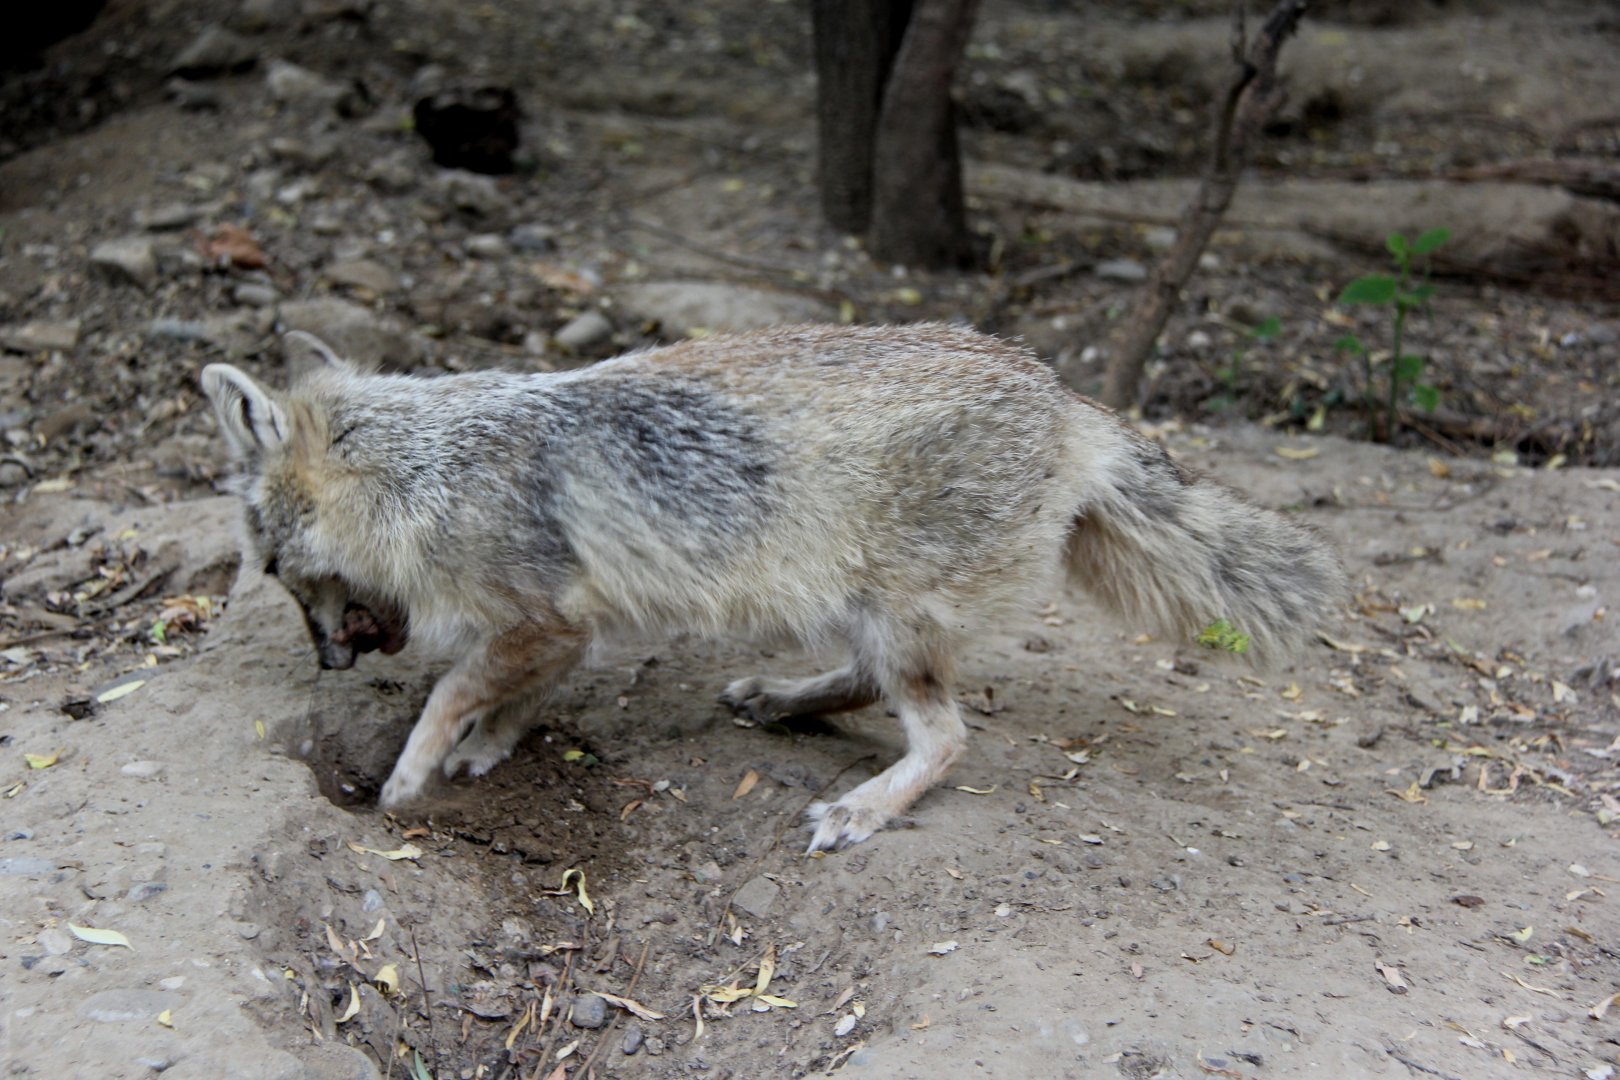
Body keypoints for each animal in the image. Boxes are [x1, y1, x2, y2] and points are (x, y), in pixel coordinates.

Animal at [202, 323, 1344, 851]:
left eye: (276, 572)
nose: (327, 659)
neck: (427, 468)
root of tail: (1065, 398)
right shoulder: (571, 627)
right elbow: (514, 695)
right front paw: (487, 748)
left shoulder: (538, 620)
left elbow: (448, 691)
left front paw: (410, 780)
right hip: (868, 621)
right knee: (867, 689)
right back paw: (781, 702)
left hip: (892, 620)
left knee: (949, 739)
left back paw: (863, 807)